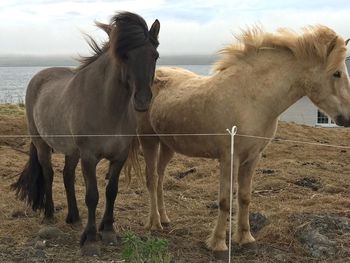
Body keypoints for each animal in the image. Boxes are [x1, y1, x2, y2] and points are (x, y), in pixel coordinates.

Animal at [11, 11, 161, 256]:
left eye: (155, 55)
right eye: (125, 56)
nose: (142, 100)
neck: (108, 106)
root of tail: (39, 77)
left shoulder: (119, 157)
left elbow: (111, 191)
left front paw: (108, 231)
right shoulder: (89, 157)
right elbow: (92, 196)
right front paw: (90, 239)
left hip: (72, 151)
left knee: (67, 176)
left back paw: (73, 217)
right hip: (42, 144)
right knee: (49, 174)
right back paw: (49, 214)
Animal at [135, 26, 350, 254]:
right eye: (336, 73)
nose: (347, 118)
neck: (251, 98)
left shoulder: (252, 158)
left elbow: (245, 197)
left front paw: (245, 238)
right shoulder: (229, 158)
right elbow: (225, 200)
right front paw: (218, 242)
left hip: (167, 145)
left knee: (160, 179)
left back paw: (165, 219)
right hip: (148, 141)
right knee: (152, 179)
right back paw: (154, 223)